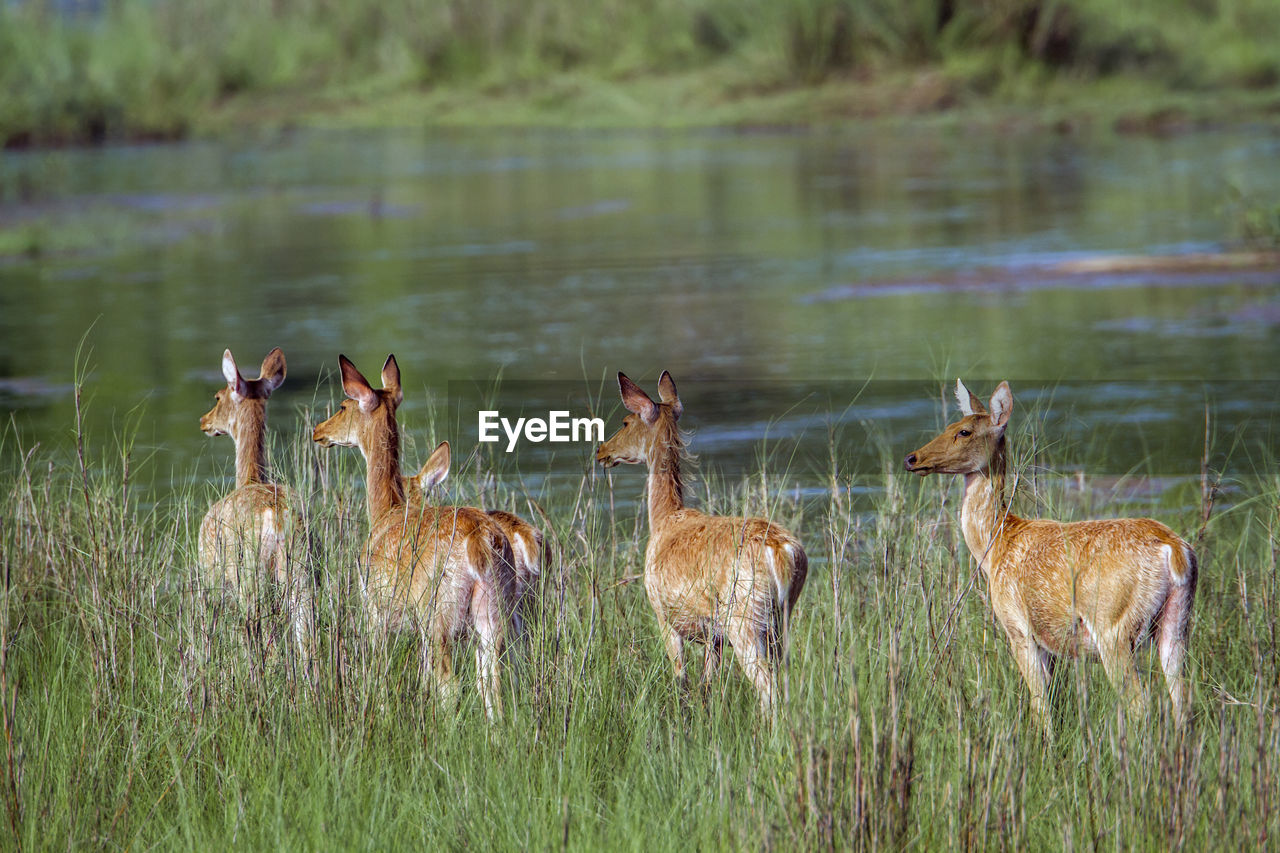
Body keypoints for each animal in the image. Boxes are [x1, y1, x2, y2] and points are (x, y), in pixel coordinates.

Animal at [197, 345, 312, 650]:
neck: (249, 478)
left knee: (258, 631)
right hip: (304, 572)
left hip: (247, 574)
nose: (203, 420)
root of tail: (278, 519)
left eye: (218, 396)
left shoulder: (209, 573)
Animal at [312, 350, 517, 717]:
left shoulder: (373, 605)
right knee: (491, 682)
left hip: (436, 609)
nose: (318, 431)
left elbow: (378, 667)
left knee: (450, 683)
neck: (385, 510)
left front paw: (379, 712)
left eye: (343, 405)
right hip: (495, 607)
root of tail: (481, 540)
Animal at [591, 371, 808, 712]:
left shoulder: (662, 614)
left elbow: (682, 680)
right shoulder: (712, 636)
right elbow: (708, 686)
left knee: (767, 688)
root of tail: (783, 553)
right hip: (780, 620)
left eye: (625, 421)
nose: (601, 451)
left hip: (743, 617)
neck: (664, 519)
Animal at [906, 376, 1192, 732]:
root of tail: (1175, 551)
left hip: (1112, 626)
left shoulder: (1018, 629)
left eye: (965, 431)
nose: (912, 458)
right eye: (950, 425)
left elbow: (1040, 707)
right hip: (1178, 622)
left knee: (1141, 705)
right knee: (1183, 702)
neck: (995, 548)